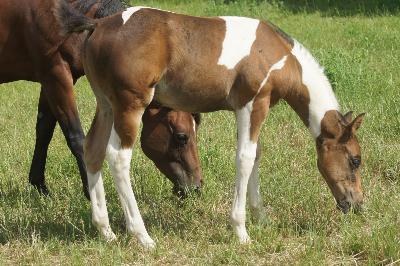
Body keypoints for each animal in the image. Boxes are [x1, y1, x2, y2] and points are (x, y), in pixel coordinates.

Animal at [0, 0, 200, 200]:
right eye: (181, 137)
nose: (196, 187)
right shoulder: (56, 74)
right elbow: (76, 137)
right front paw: (91, 193)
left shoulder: (50, 80)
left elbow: (43, 132)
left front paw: (39, 186)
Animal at [56, 2, 366, 247]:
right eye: (355, 160)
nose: (357, 205)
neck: (278, 57)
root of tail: (99, 24)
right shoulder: (252, 104)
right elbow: (245, 158)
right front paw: (241, 231)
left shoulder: (250, 110)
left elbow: (256, 155)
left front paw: (261, 218)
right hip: (130, 104)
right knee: (118, 158)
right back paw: (142, 236)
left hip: (106, 105)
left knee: (93, 151)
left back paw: (106, 231)